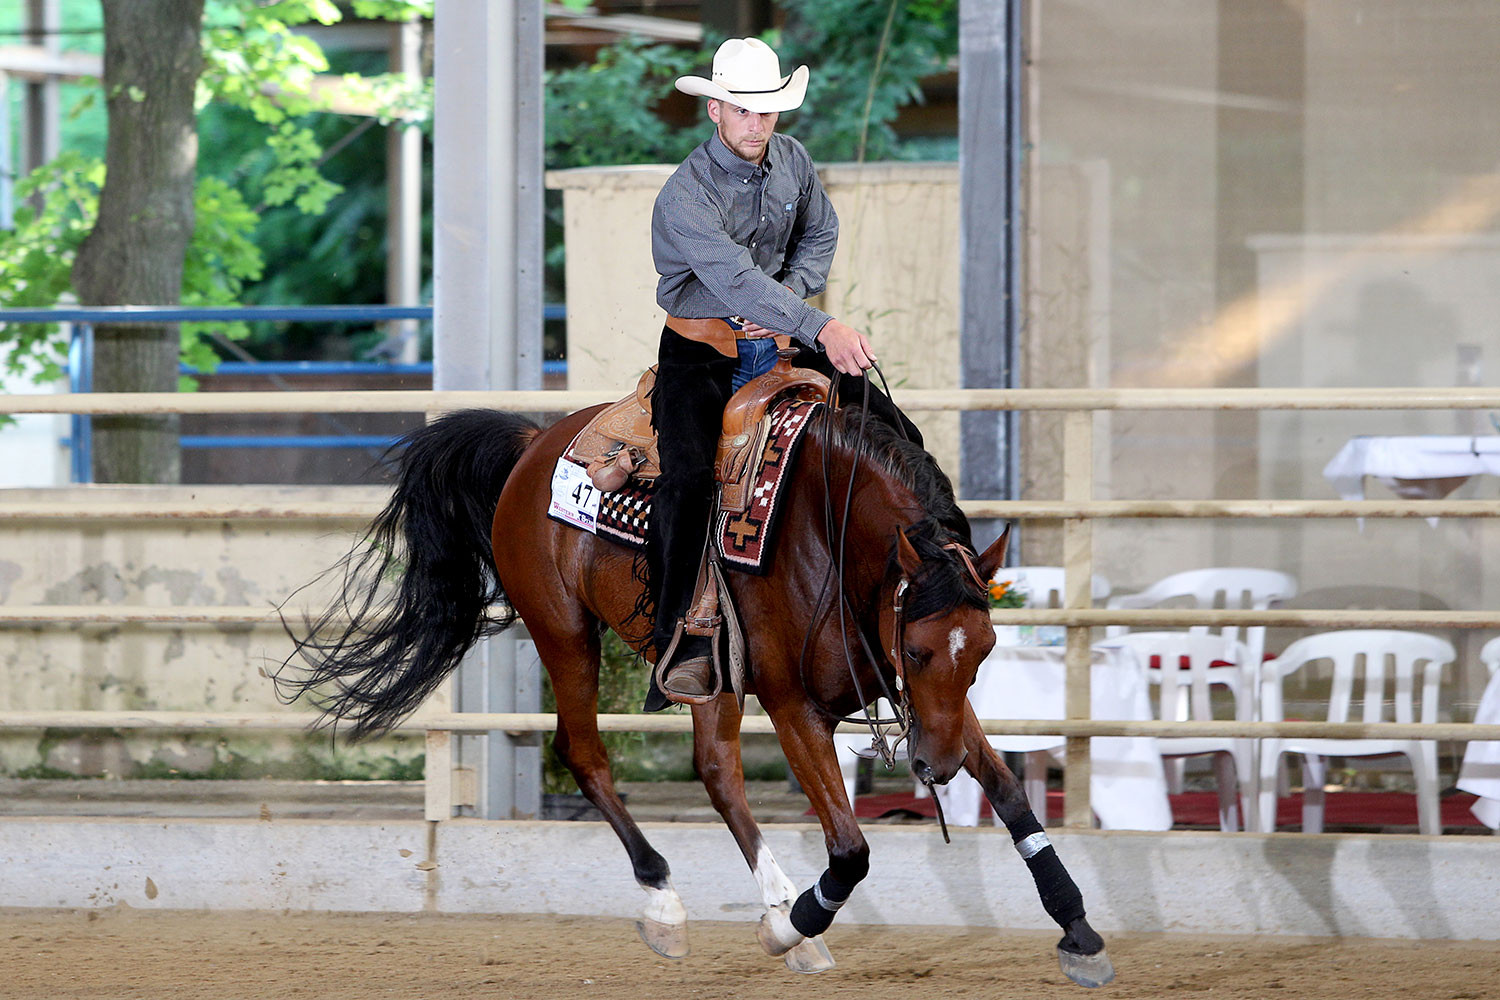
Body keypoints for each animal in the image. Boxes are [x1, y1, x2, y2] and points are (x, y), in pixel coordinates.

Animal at [283, 395, 1116, 989]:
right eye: (915, 646)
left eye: (984, 651)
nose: (935, 771)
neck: (832, 534)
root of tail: (535, 443)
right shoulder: (795, 705)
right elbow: (850, 850)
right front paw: (794, 925)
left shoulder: (930, 707)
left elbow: (1008, 795)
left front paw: (1079, 931)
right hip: (565, 632)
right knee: (586, 753)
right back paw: (670, 903)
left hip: (706, 671)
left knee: (717, 772)